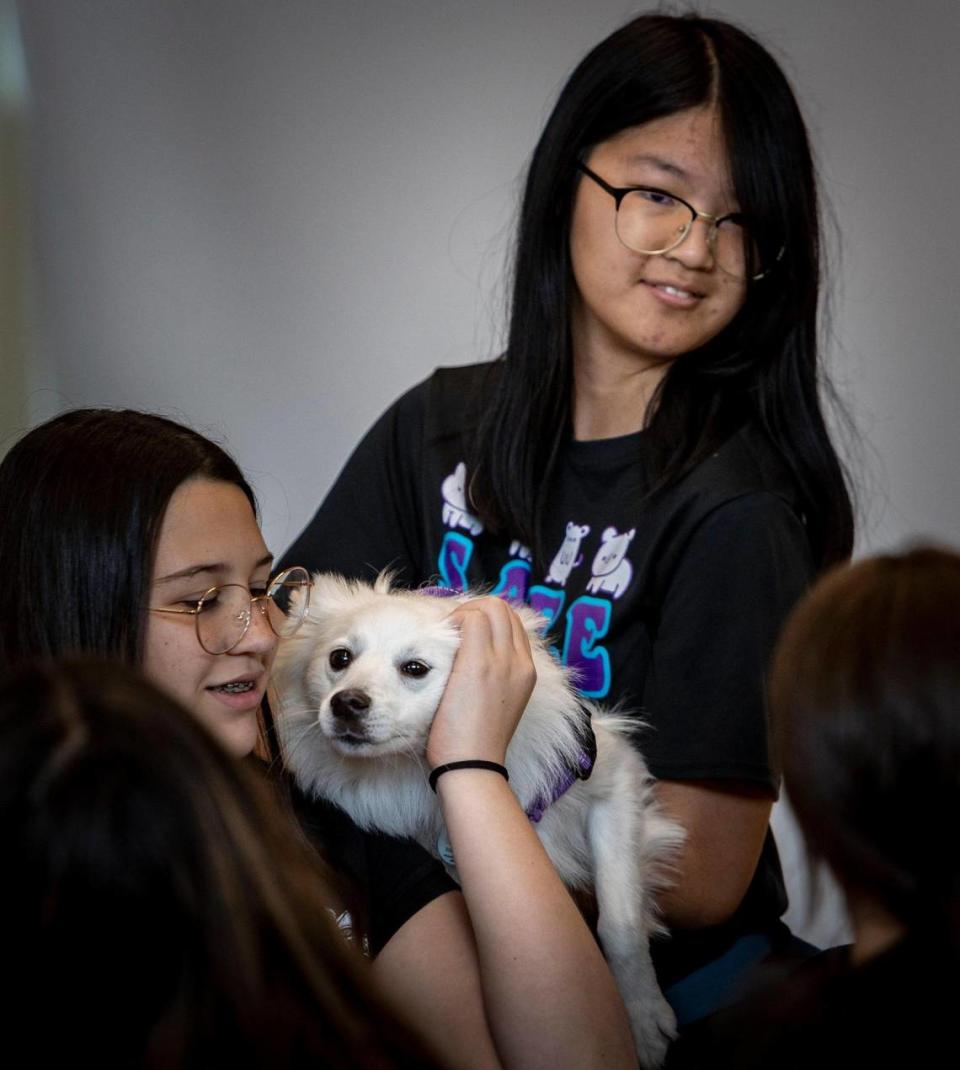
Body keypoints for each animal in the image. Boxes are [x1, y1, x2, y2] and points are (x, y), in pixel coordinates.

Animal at [273, 573, 684, 1065]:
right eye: (340, 659)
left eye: (415, 668)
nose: (346, 702)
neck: (410, 770)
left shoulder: (614, 784)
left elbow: (620, 922)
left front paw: (641, 1017)